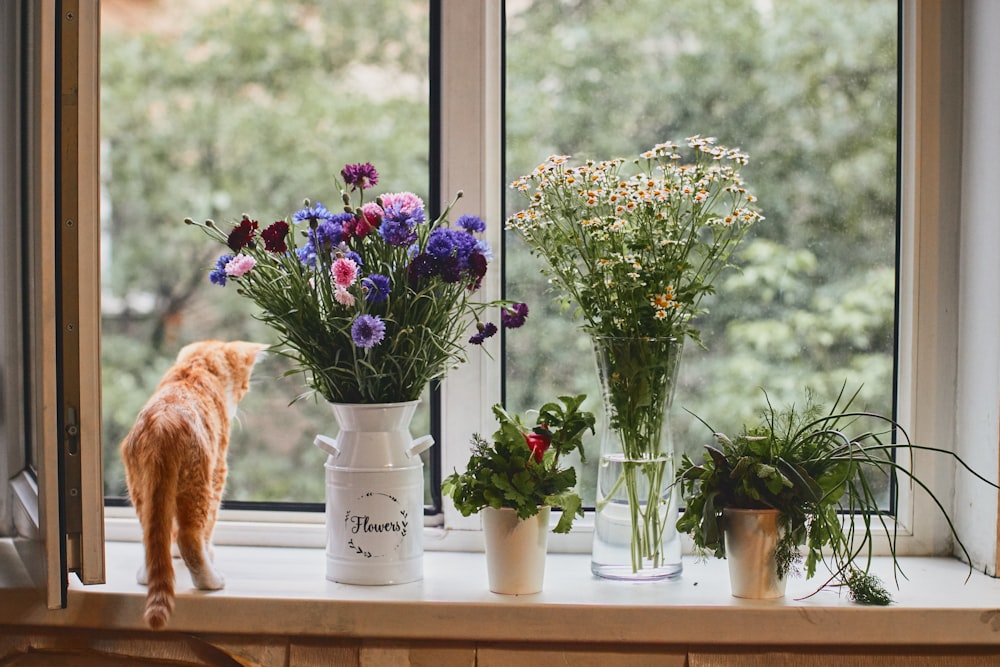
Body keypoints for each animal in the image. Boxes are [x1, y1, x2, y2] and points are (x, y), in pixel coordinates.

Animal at [120, 342, 266, 628]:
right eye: (244, 388)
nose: (239, 400)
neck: (194, 368)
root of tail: (162, 425)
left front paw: (172, 553)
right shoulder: (219, 469)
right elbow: (207, 528)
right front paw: (207, 551)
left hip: (142, 490)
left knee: (153, 534)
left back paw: (149, 571)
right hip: (198, 485)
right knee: (190, 536)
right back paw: (210, 581)